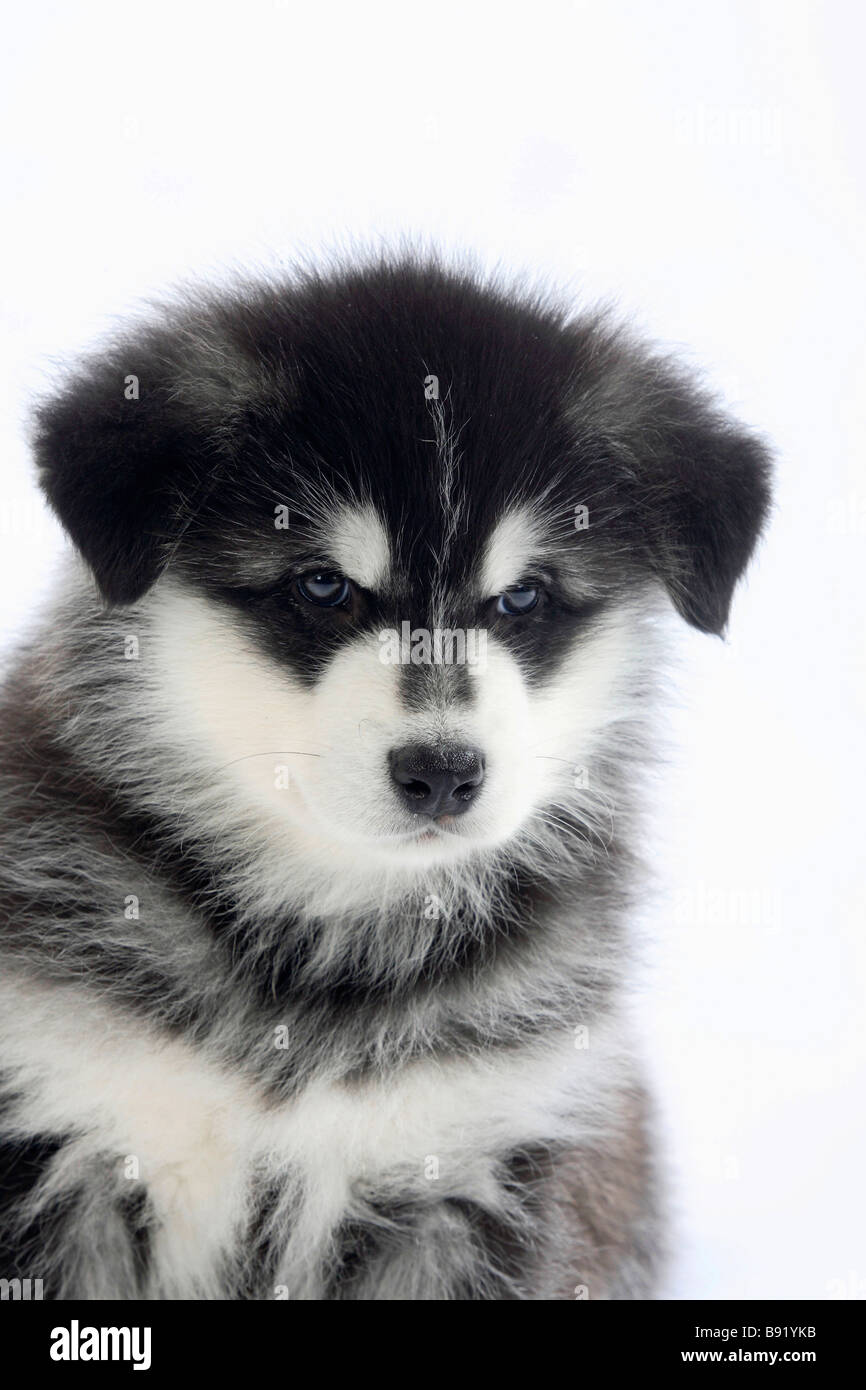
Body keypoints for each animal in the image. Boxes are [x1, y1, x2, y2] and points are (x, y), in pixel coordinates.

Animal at [0, 255, 772, 1295]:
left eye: (521, 597)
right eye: (324, 585)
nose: (441, 773)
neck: (320, 954)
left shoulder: (467, 1167)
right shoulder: (65, 1138)